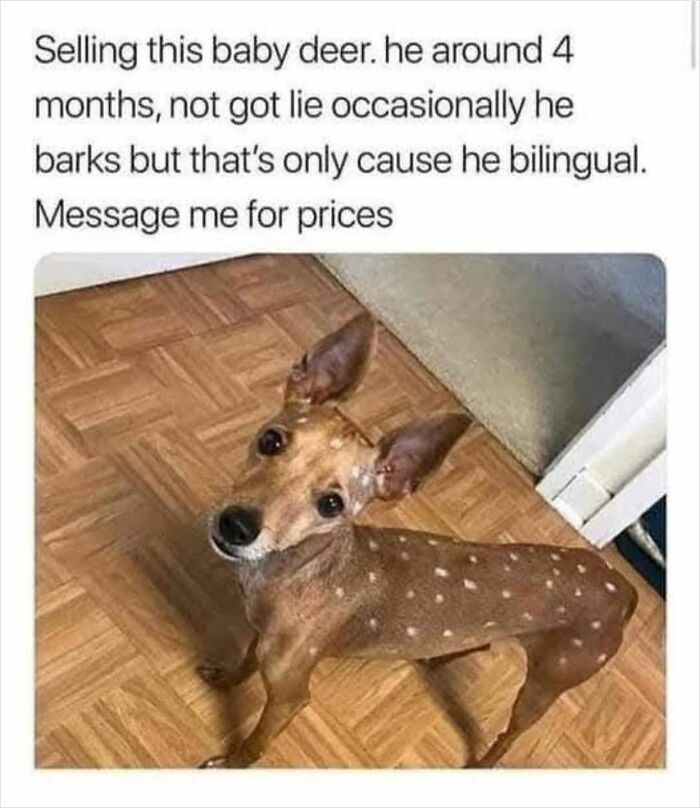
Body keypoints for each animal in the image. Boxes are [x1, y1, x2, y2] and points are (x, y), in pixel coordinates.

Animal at [198, 312, 638, 768]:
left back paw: (481, 763)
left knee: (509, 736)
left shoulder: (290, 695)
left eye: (332, 504)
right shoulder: (263, 640)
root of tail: (625, 590)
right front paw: (226, 678)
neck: (297, 572)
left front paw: (228, 764)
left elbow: (254, 746)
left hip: (546, 684)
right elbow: (246, 663)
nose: (237, 525)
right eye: (271, 440)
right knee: (479, 643)